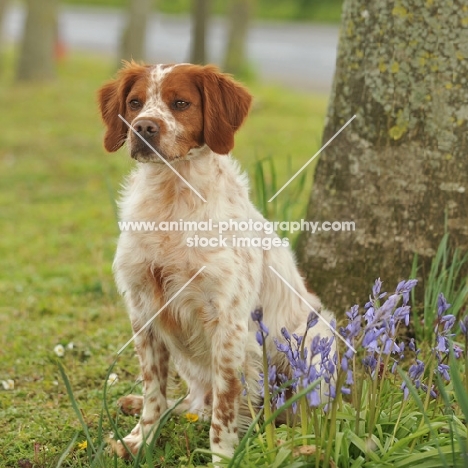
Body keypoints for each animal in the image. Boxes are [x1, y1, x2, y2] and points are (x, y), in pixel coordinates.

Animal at [97, 63, 334, 464]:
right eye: (134, 103)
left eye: (180, 103)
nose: (143, 127)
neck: (173, 198)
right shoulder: (143, 312)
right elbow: (154, 391)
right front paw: (139, 440)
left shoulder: (229, 321)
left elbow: (225, 406)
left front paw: (224, 457)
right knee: (193, 401)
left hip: (314, 344)